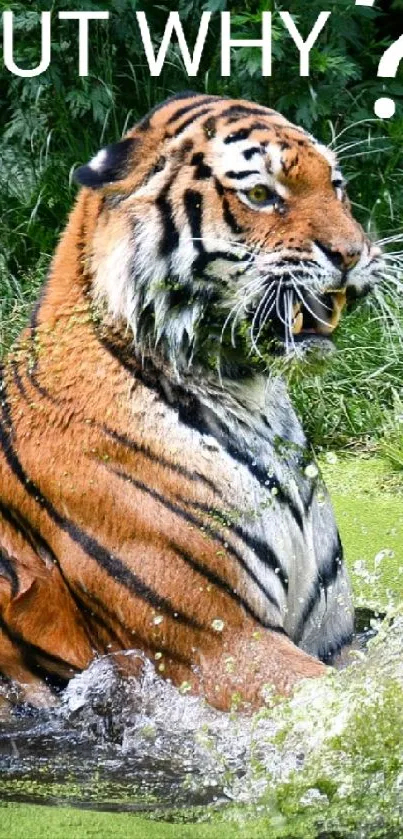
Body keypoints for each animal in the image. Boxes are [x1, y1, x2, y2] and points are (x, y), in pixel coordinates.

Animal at [0, 92, 384, 712]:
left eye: (337, 187)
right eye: (261, 195)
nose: (354, 254)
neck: (249, 395)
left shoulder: (336, 637)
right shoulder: (222, 648)